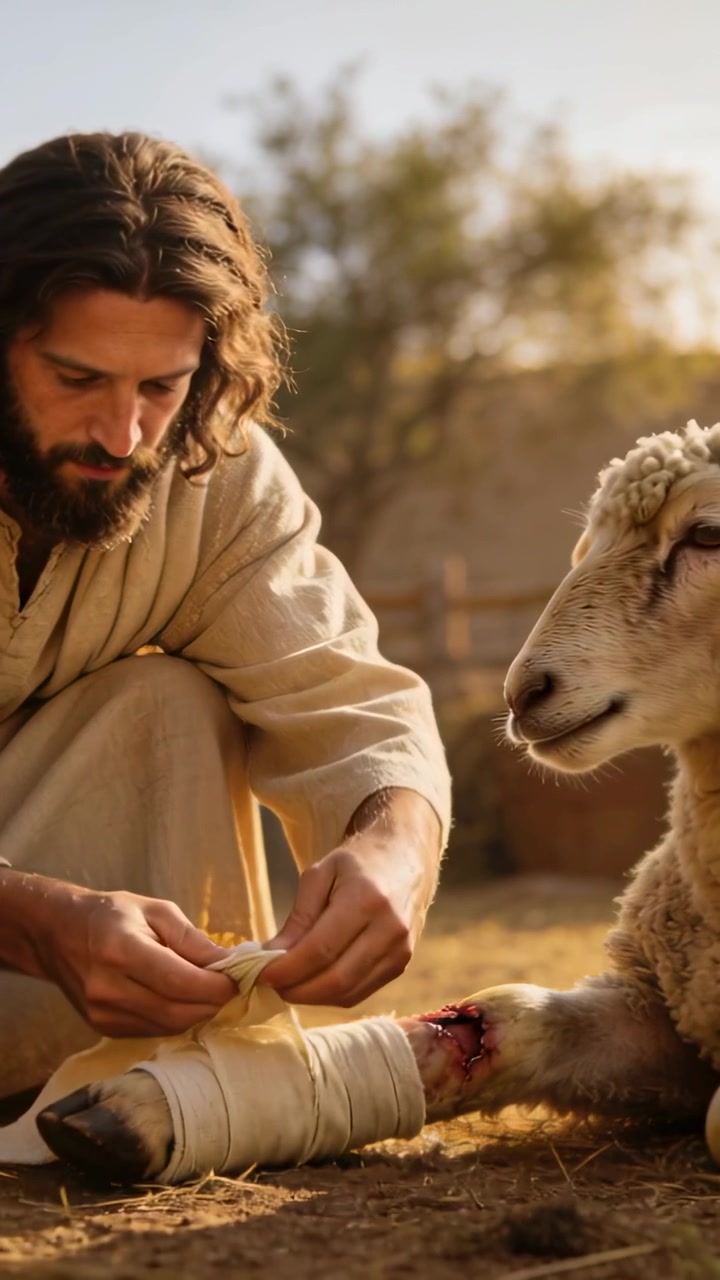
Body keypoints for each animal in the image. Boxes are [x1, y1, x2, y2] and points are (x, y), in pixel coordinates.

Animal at [7, 417, 720, 1184]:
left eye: (708, 534)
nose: (525, 693)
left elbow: (706, 1117)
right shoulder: (651, 1011)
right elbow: (506, 1017)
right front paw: (138, 1106)